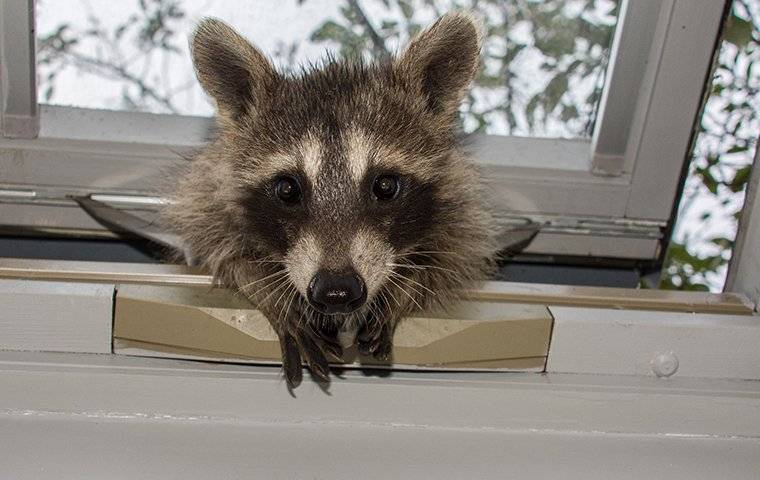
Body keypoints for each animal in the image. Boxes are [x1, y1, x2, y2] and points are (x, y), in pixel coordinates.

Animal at [166, 12, 496, 390]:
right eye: (287, 190)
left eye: (385, 186)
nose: (336, 291)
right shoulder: (209, 191)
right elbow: (216, 247)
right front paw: (266, 285)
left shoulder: (459, 198)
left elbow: (453, 252)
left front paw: (408, 282)